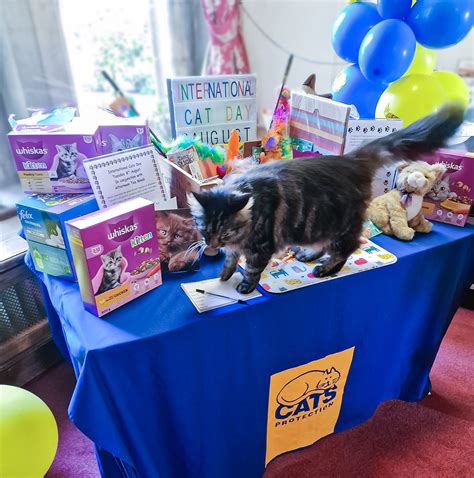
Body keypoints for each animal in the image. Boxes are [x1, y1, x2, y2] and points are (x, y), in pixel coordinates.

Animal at [188, 105, 462, 294]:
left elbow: (253, 270)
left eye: (224, 233)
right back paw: (308, 256)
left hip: (338, 225)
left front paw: (245, 286)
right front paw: (224, 275)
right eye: (204, 230)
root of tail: (351, 160)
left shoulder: (260, 248)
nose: (211, 244)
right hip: (316, 225)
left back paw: (325, 269)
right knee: (326, 245)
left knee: (348, 248)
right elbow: (231, 260)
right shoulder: (237, 247)